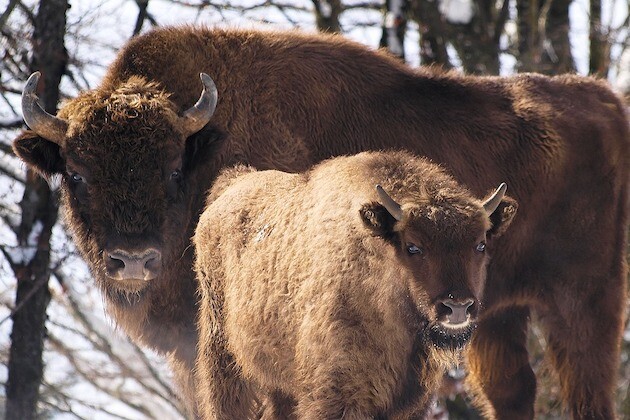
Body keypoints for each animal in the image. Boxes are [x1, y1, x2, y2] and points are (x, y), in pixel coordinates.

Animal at [194, 152, 520, 420]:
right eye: (413, 246)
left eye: (480, 244)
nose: (457, 306)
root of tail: (230, 187)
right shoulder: (336, 397)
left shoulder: (410, 403)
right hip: (222, 357)